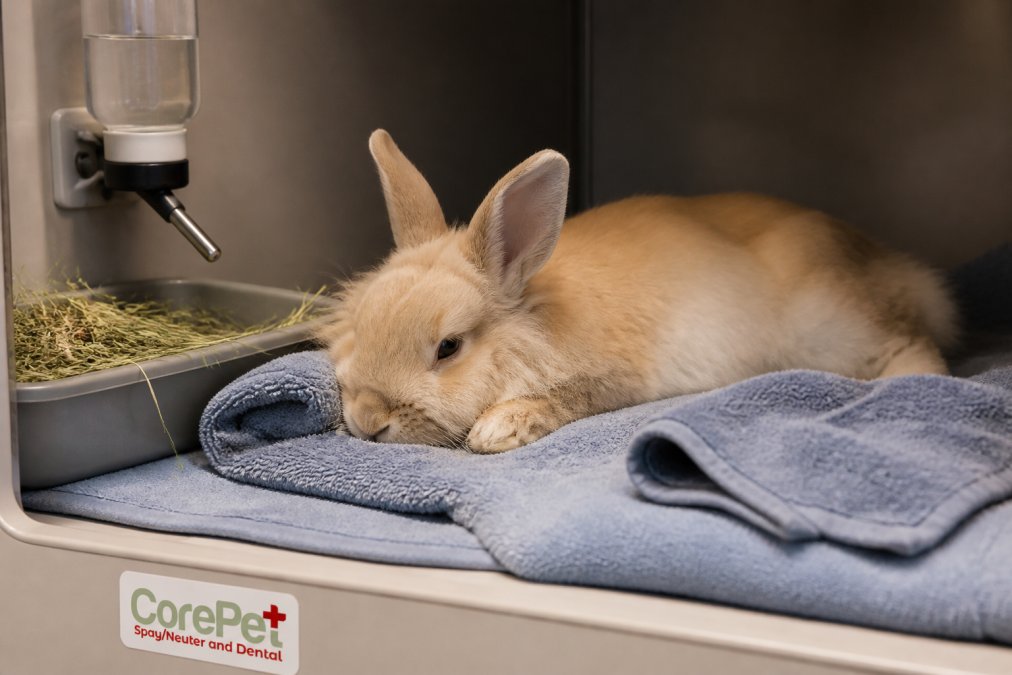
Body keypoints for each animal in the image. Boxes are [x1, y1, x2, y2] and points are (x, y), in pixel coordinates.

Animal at [319, 129, 958, 453]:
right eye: (360, 329)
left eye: (449, 348)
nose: (368, 422)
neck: (535, 318)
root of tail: (892, 265)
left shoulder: (612, 380)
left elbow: (566, 399)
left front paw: (499, 429)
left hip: (832, 328)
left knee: (915, 345)